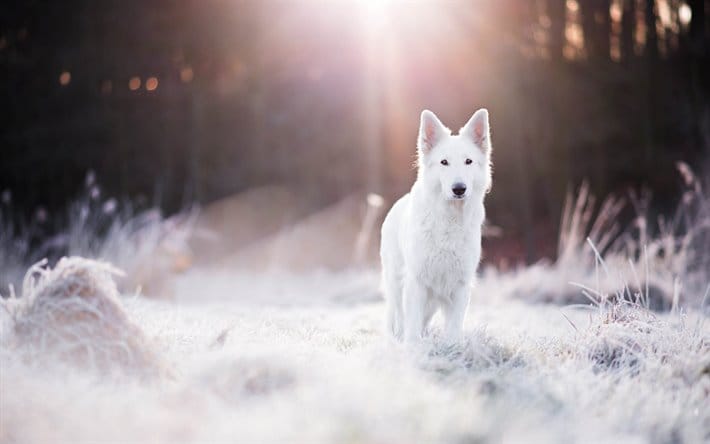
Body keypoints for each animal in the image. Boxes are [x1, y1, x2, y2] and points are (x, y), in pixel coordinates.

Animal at [382, 108, 492, 344]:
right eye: (444, 162)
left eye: (468, 161)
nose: (459, 189)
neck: (449, 219)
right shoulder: (416, 281)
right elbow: (411, 323)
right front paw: (412, 347)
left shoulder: (460, 285)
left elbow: (454, 327)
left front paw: (452, 347)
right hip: (395, 284)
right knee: (397, 316)